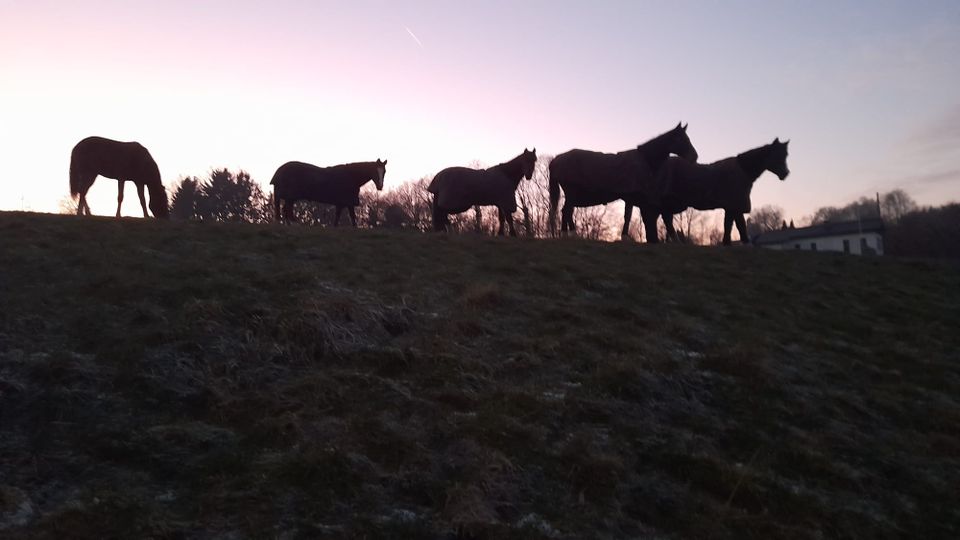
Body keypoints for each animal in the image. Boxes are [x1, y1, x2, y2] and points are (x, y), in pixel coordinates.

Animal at [548, 123, 696, 242]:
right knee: (567, 210)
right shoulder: (631, 195)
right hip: (572, 192)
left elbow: (628, 216)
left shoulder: (631, 197)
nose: (695, 156)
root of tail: (556, 160)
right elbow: (628, 216)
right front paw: (625, 237)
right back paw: (571, 234)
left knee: (566, 211)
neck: (644, 159)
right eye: (681, 139)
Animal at [628, 137, 792, 245]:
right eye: (777, 154)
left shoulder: (731, 206)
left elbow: (730, 225)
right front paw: (743, 243)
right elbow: (739, 225)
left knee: (659, 219)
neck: (742, 170)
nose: (785, 173)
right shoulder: (735, 203)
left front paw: (727, 243)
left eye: (785, 155)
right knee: (654, 218)